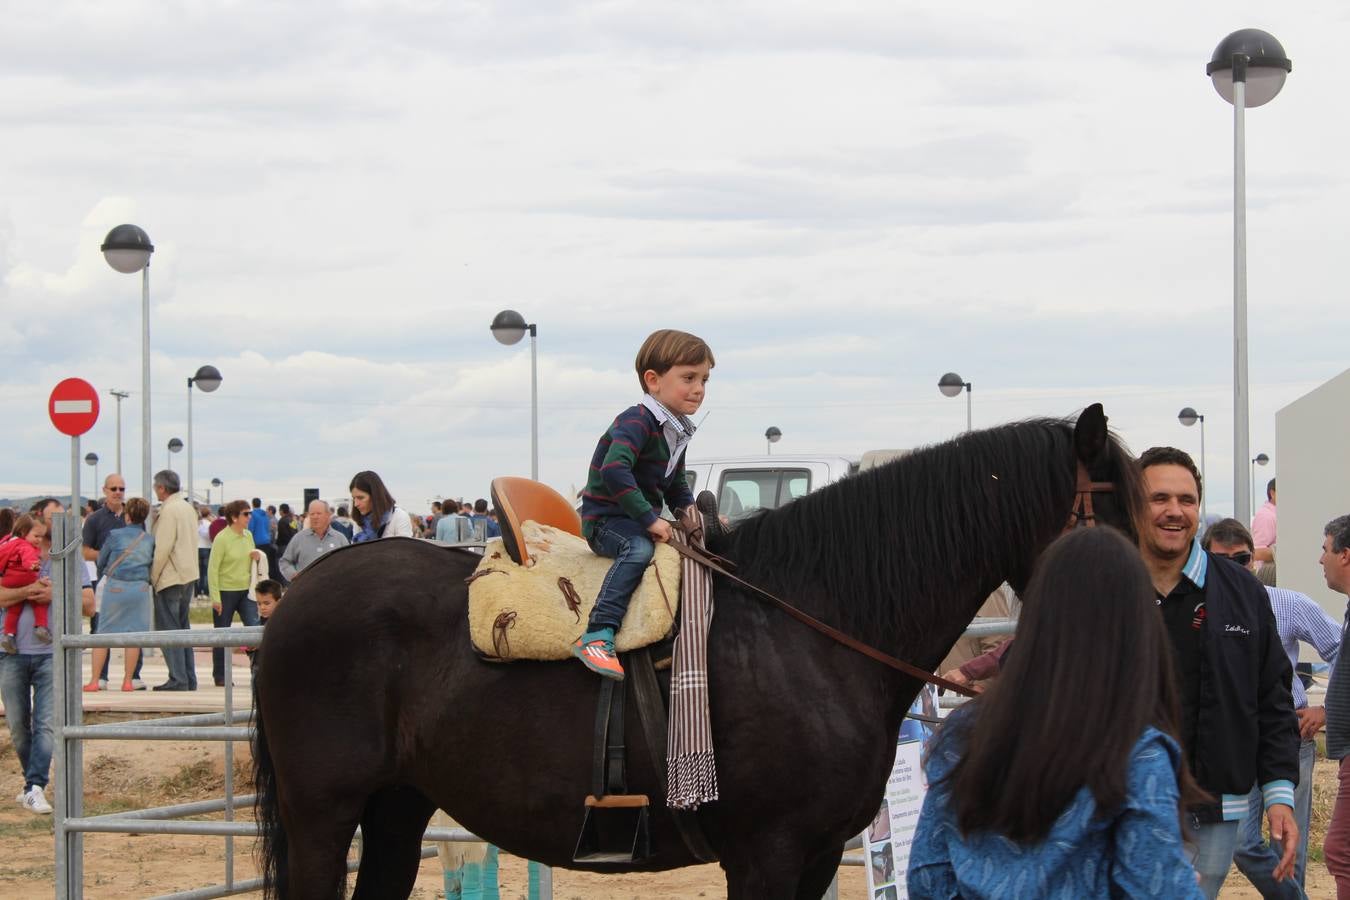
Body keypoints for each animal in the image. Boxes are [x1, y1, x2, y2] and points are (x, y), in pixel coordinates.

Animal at [251, 407, 1139, 900]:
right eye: (1115, 510)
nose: (1152, 607)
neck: (808, 626)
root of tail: (302, 592)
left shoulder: (816, 855)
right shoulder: (768, 854)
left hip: (397, 807)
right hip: (323, 815)